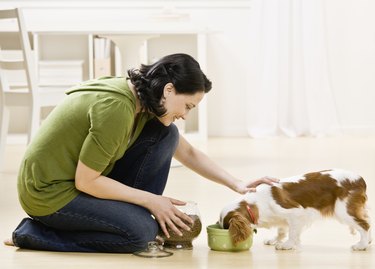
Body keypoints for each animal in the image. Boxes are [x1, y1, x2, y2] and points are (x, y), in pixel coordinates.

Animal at [219, 169, 372, 250]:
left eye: (226, 227)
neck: (256, 203)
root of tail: (360, 179)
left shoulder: (295, 213)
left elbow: (292, 233)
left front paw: (287, 245)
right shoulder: (282, 218)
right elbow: (281, 230)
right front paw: (275, 240)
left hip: (344, 211)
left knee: (364, 225)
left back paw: (361, 245)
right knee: (367, 222)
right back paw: (368, 241)